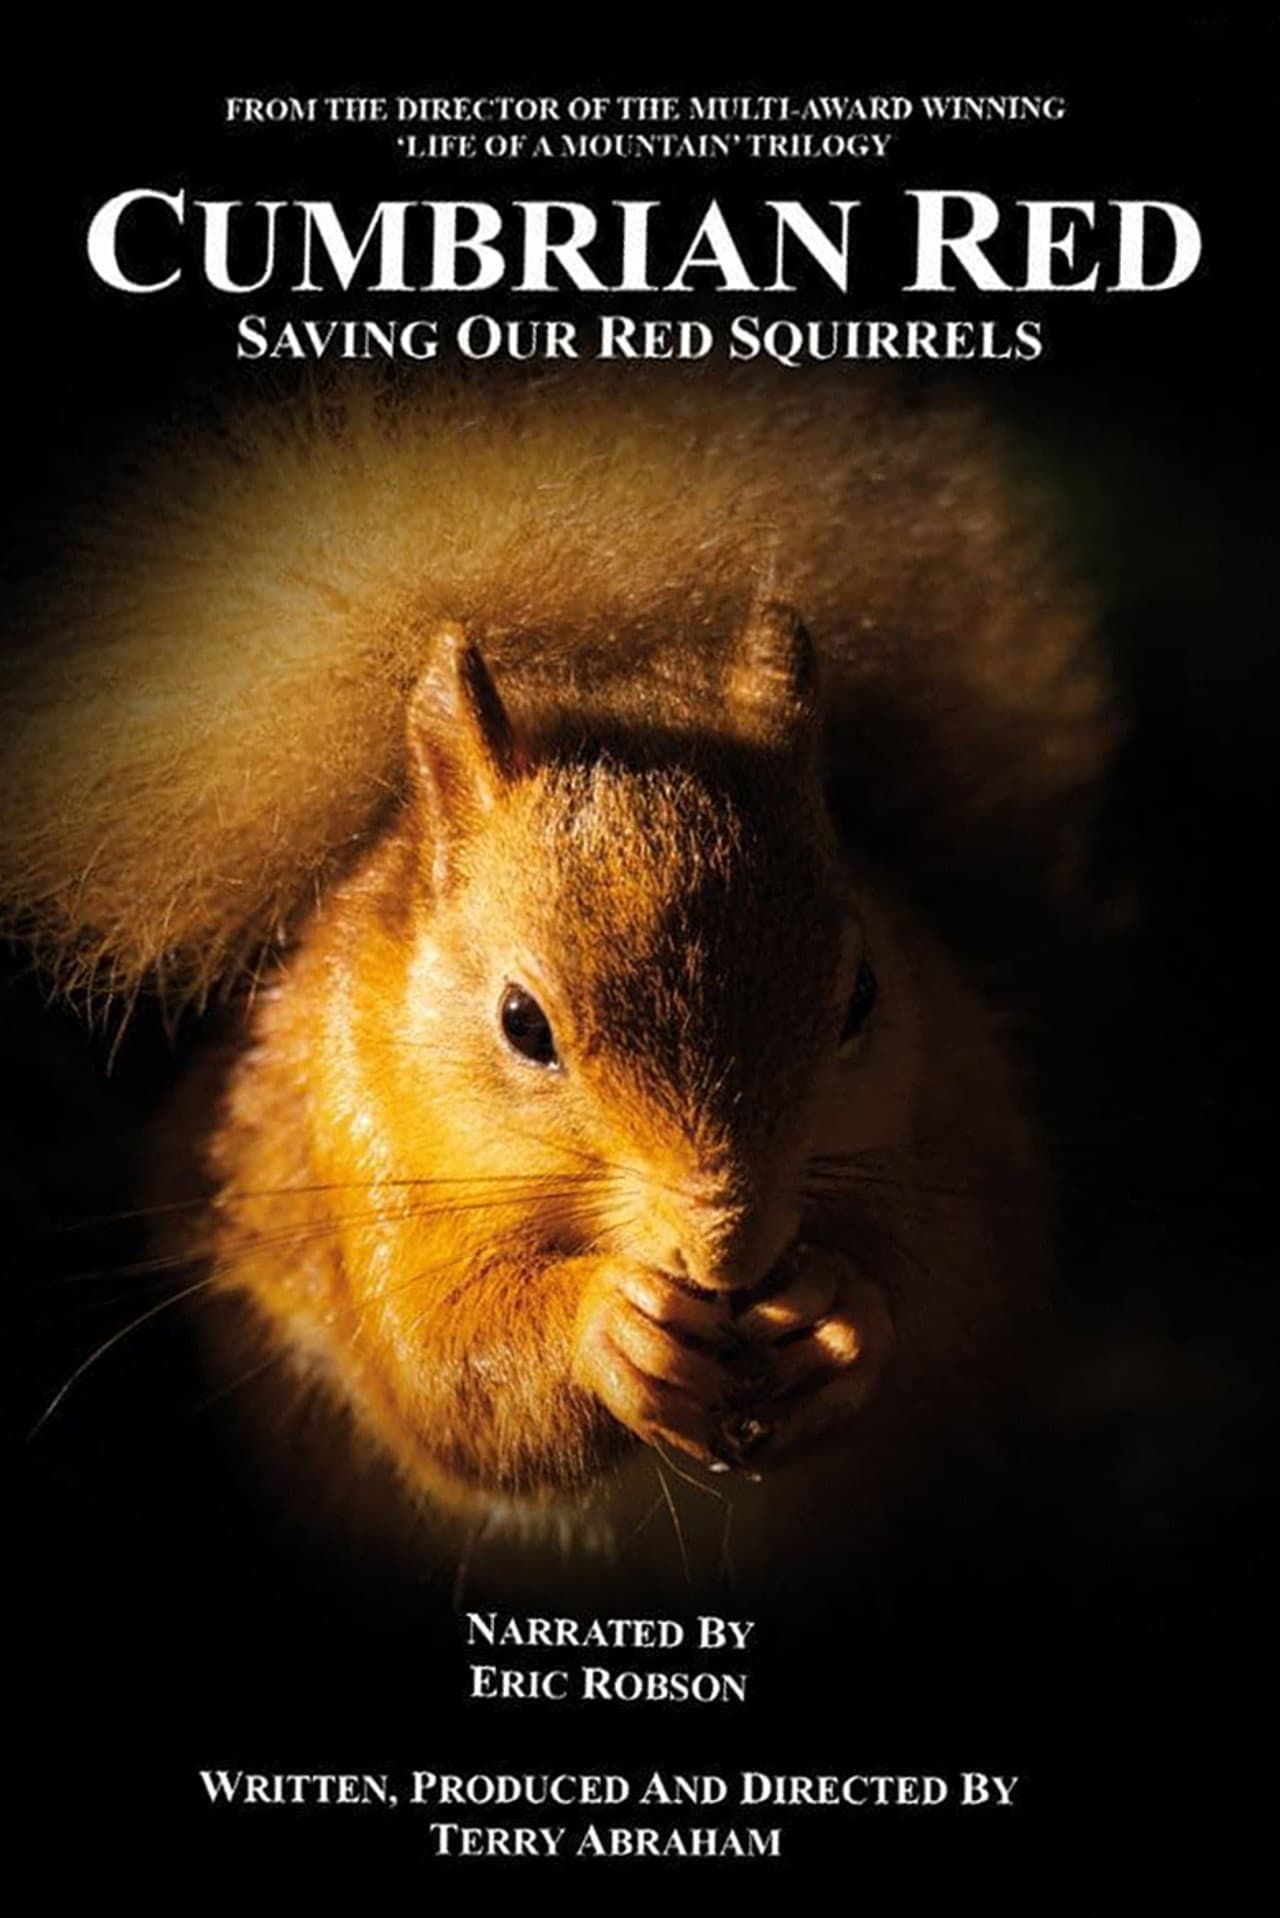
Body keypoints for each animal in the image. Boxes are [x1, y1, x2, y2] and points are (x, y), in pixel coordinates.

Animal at [0, 371, 1116, 1579]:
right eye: (520, 1023)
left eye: (862, 992)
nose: (728, 1247)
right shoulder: (345, 1148)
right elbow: (441, 1367)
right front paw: (604, 1333)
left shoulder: (956, 1130)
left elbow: (951, 1287)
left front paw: (837, 1310)